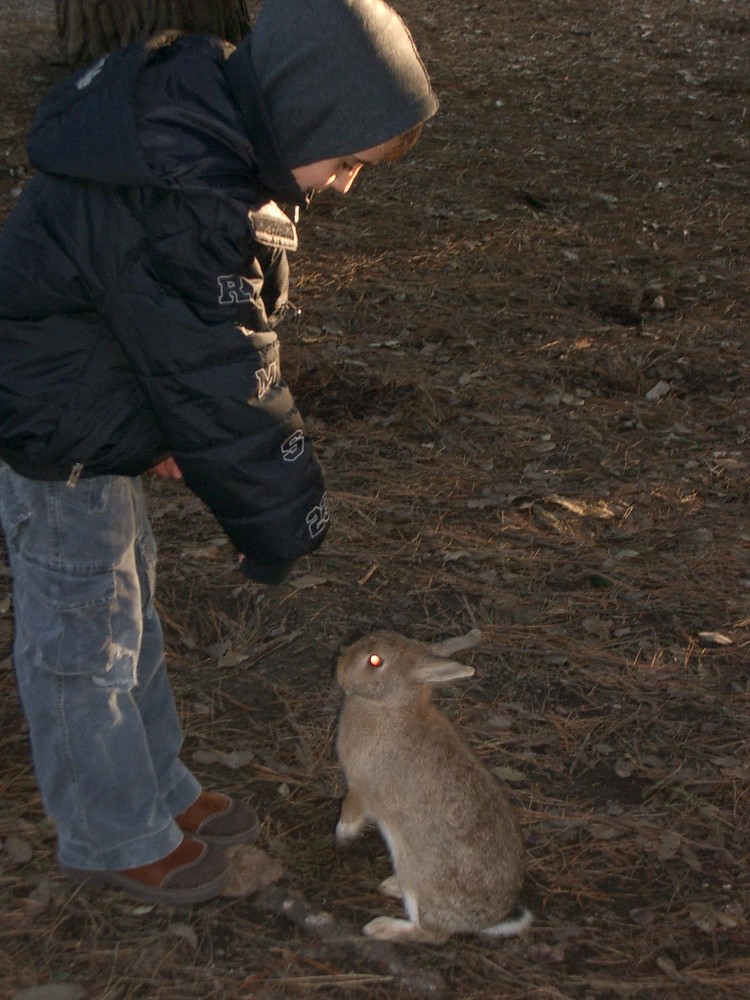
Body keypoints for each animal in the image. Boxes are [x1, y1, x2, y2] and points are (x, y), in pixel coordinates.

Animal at [338, 628, 532, 940]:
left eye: (375, 661)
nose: (340, 668)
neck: (390, 707)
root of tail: (487, 922)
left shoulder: (360, 787)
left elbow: (350, 811)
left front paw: (342, 837)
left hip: (419, 880)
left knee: (431, 934)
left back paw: (381, 927)